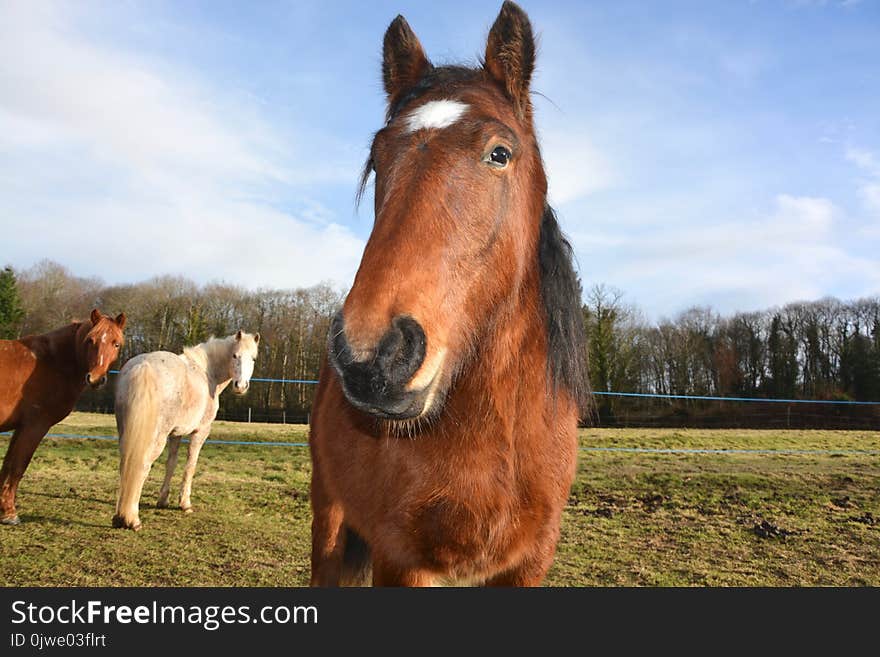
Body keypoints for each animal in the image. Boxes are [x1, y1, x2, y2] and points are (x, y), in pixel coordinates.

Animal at [0, 308, 127, 524]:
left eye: (116, 343)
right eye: (90, 340)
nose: (95, 379)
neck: (52, 363)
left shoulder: (21, 427)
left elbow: (8, 465)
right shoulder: (35, 426)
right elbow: (18, 467)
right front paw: (9, 513)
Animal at [111, 330, 260, 532]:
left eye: (253, 358)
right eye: (235, 356)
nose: (241, 386)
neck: (207, 373)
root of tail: (143, 366)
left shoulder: (176, 433)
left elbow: (171, 463)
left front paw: (163, 500)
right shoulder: (200, 432)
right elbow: (191, 465)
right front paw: (185, 504)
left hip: (126, 431)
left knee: (125, 463)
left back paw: (120, 516)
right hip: (155, 438)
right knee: (141, 465)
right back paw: (132, 519)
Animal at [310, 0, 592, 584]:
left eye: (500, 153)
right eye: (376, 159)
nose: (373, 354)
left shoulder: (530, 564)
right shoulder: (403, 560)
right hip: (329, 521)